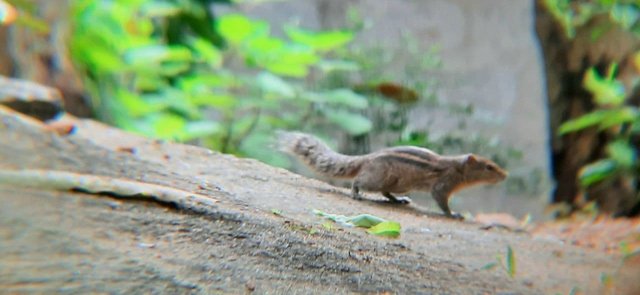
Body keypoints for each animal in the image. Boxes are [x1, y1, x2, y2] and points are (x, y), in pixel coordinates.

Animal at [278, 133, 508, 219]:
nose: (505, 175)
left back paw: (399, 200)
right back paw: (356, 194)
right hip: (376, 178)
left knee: (386, 193)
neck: (457, 167)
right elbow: (442, 202)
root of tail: (368, 158)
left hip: (399, 184)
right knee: (358, 181)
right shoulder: (443, 185)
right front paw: (454, 214)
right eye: (489, 167)